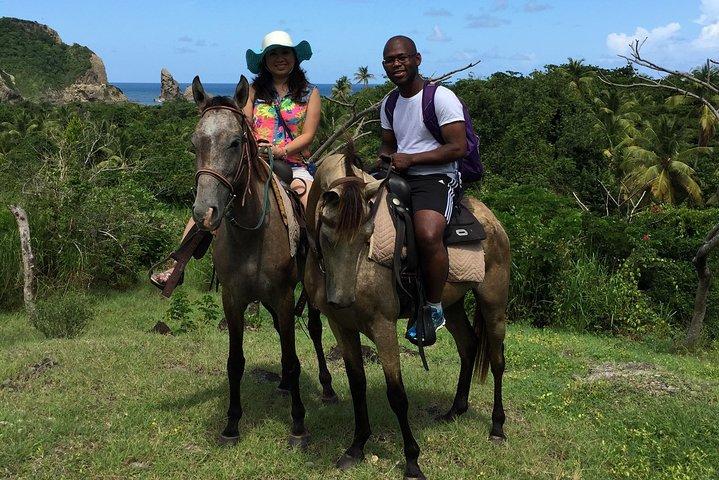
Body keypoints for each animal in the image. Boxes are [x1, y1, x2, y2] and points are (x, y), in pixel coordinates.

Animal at [189, 76, 337, 447]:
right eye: (195, 143)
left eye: (235, 142)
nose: (204, 212)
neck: (252, 233)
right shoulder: (233, 299)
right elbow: (235, 361)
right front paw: (231, 423)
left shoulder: (284, 296)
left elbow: (293, 356)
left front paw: (298, 424)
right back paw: (284, 384)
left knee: (314, 330)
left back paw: (327, 387)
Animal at [303, 153, 510, 479]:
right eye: (326, 229)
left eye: (367, 236)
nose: (342, 299)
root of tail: (491, 220)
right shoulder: (341, 325)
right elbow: (357, 384)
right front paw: (356, 448)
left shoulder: (382, 326)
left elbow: (397, 394)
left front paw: (412, 461)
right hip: (452, 306)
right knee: (468, 346)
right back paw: (455, 410)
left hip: (493, 302)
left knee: (498, 361)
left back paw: (497, 428)